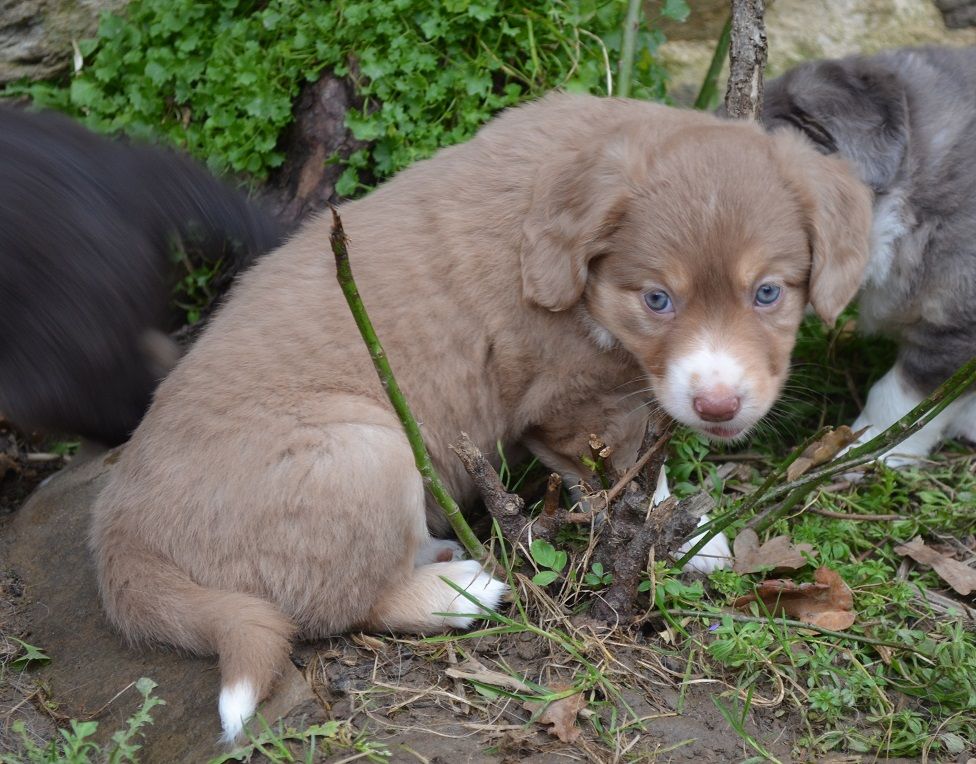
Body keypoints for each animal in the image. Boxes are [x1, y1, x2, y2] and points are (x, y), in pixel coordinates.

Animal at [89, 91, 868, 740]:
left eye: (768, 292)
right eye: (657, 300)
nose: (719, 405)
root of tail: (122, 540)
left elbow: (649, 466)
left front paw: (693, 534)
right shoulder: (570, 404)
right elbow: (624, 471)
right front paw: (670, 531)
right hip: (368, 451)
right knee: (336, 606)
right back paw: (458, 590)